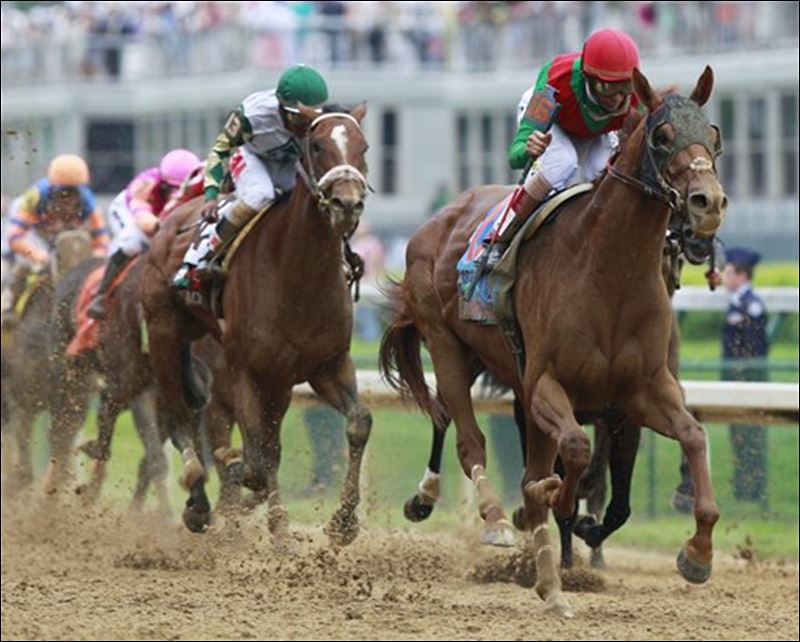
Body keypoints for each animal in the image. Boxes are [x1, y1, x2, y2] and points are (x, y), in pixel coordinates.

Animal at [141, 104, 372, 540]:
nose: (346, 203)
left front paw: (343, 522)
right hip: (164, 331)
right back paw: (198, 499)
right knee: (179, 415)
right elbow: (258, 462)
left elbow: (358, 423)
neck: (298, 275)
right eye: (317, 146)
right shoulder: (246, 369)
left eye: (363, 145)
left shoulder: (326, 365)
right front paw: (261, 510)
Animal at [380, 66, 724, 616]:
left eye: (713, 136)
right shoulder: (546, 385)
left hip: (490, 361)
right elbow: (574, 456)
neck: (608, 272)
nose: (707, 205)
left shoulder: (640, 393)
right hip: (447, 343)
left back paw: (545, 578)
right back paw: (494, 517)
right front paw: (551, 505)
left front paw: (697, 553)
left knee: (450, 419)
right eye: (662, 135)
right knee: (466, 436)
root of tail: (437, 219)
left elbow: (691, 437)